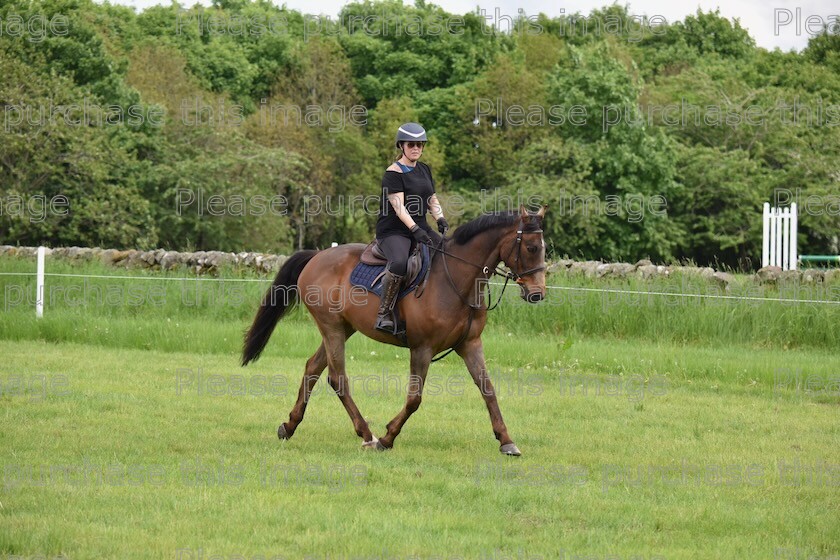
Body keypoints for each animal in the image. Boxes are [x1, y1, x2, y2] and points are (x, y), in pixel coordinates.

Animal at [240, 206, 548, 456]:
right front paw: (388, 438)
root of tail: (317, 256)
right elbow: (414, 399)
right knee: (337, 378)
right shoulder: (422, 348)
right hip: (332, 327)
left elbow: (488, 389)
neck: (457, 279)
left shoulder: (470, 344)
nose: (538, 294)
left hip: (344, 327)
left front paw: (506, 441)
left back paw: (289, 426)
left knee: (313, 368)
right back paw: (367, 435)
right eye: (532, 248)